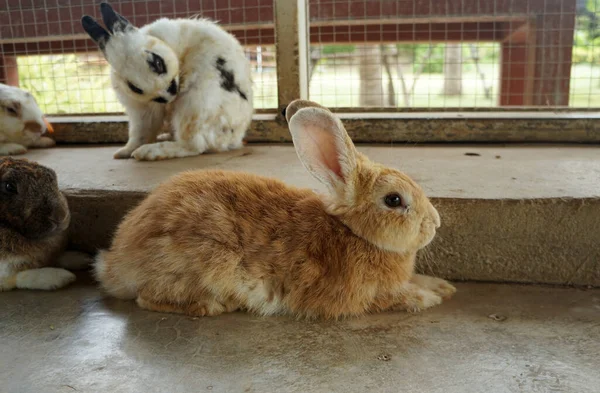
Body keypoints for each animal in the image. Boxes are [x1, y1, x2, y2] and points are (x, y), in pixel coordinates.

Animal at [0, 157, 89, 290]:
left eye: (53, 175)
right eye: (9, 187)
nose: (60, 216)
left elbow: (55, 257)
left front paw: (82, 258)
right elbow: (19, 277)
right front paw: (61, 277)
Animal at [81, 2, 253, 160]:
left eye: (157, 62)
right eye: (134, 87)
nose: (168, 95)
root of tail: (233, 139)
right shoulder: (141, 111)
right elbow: (141, 133)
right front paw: (124, 151)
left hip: (195, 104)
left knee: (193, 145)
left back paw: (148, 152)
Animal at [95, 99, 454, 316]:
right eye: (394, 200)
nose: (436, 223)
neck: (354, 233)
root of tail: (113, 265)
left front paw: (440, 286)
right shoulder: (359, 296)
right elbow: (393, 297)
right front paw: (429, 297)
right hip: (202, 261)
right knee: (147, 297)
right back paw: (212, 305)